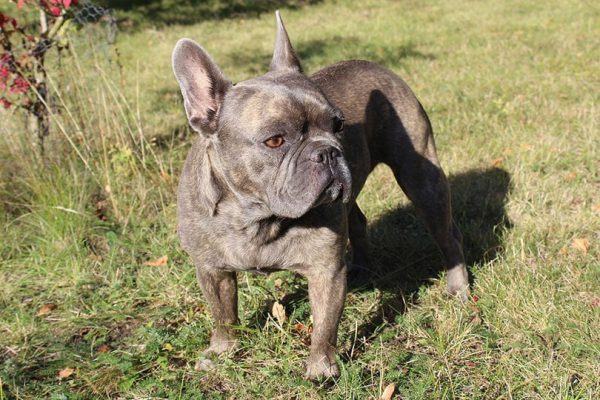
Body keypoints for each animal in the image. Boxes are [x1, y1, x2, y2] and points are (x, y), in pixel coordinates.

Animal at [173, 10, 468, 380]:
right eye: (275, 140)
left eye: (338, 125)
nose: (328, 151)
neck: (256, 218)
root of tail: (378, 66)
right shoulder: (211, 269)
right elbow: (223, 314)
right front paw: (222, 350)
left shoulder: (325, 270)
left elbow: (325, 325)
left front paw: (321, 368)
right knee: (357, 220)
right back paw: (362, 267)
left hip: (421, 178)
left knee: (447, 234)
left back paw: (458, 287)